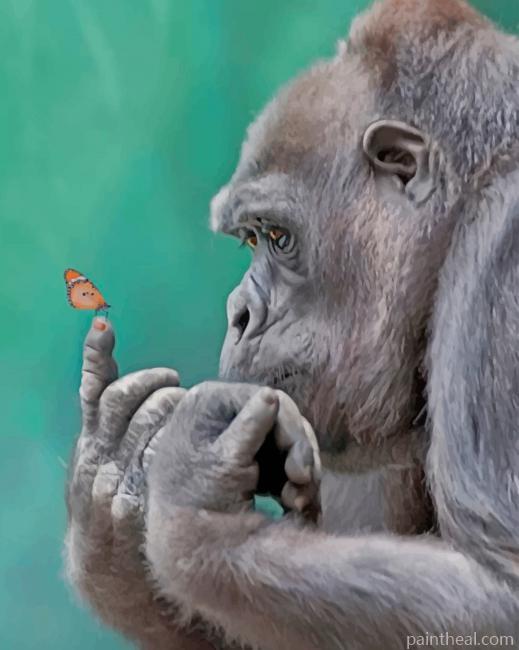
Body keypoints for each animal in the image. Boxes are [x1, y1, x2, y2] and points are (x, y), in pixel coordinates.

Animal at [64, 0, 519, 648]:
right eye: (249, 240)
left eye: (278, 237)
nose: (238, 313)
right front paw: (110, 483)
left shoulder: (502, 246)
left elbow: (500, 590)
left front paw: (197, 508)